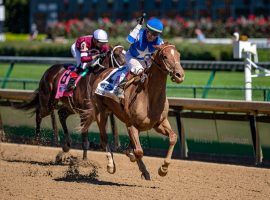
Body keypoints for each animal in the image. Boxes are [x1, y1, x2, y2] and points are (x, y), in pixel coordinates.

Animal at [84, 42, 185, 180]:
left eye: (179, 55)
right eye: (164, 56)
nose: (180, 75)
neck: (149, 96)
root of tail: (102, 73)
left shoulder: (159, 123)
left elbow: (173, 137)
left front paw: (163, 168)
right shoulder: (131, 124)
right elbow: (138, 151)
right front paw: (140, 164)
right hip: (101, 113)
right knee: (104, 139)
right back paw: (110, 165)